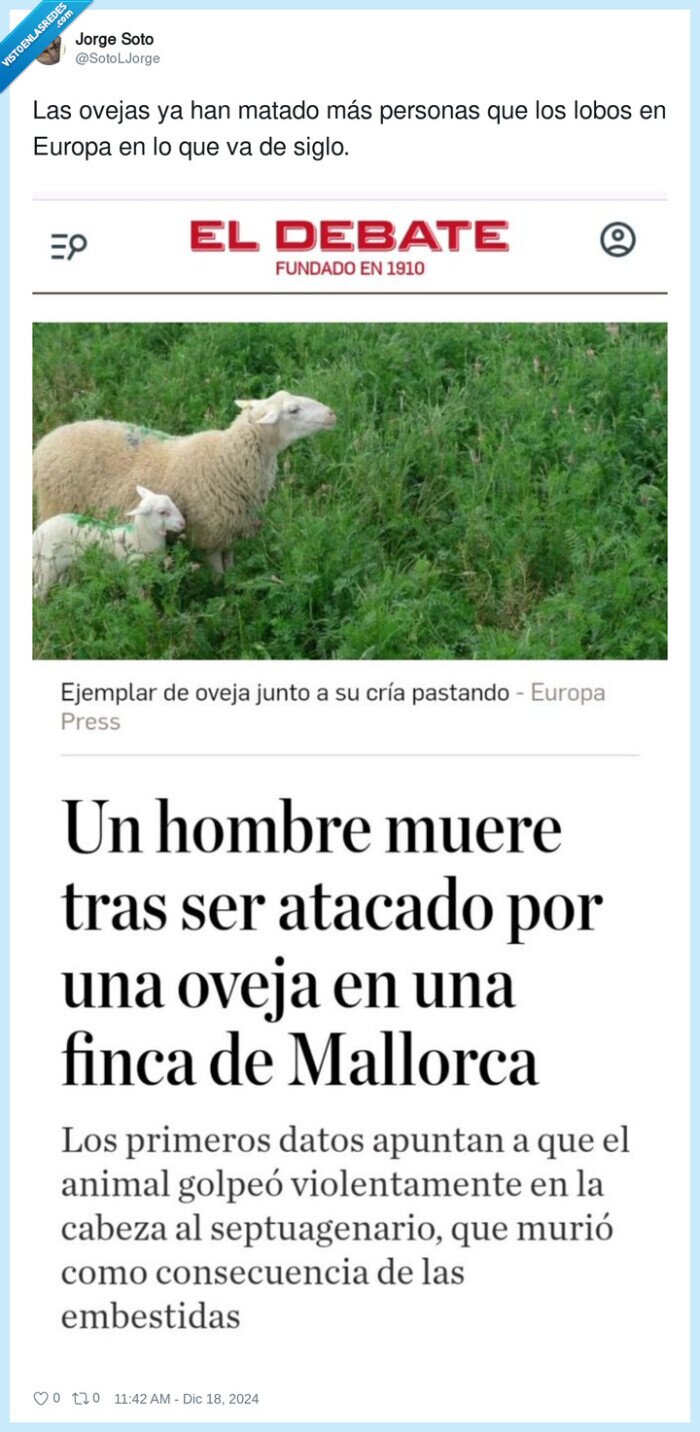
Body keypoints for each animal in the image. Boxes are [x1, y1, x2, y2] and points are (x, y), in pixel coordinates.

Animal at [32, 485, 185, 598]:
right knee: (39, 591)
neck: (139, 536)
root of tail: (38, 532)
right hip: (48, 566)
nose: (183, 523)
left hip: (62, 567)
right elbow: (138, 594)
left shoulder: (148, 571)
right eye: (162, 512)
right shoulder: (131, 572)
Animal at [33, 390, 337, 575]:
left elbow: (231, 570)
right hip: (55, 508)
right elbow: (219, 579)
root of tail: (44, 444)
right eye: (293, 410)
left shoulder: (229, 532)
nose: (332, 414)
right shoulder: (209, 536)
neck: (228, 460)